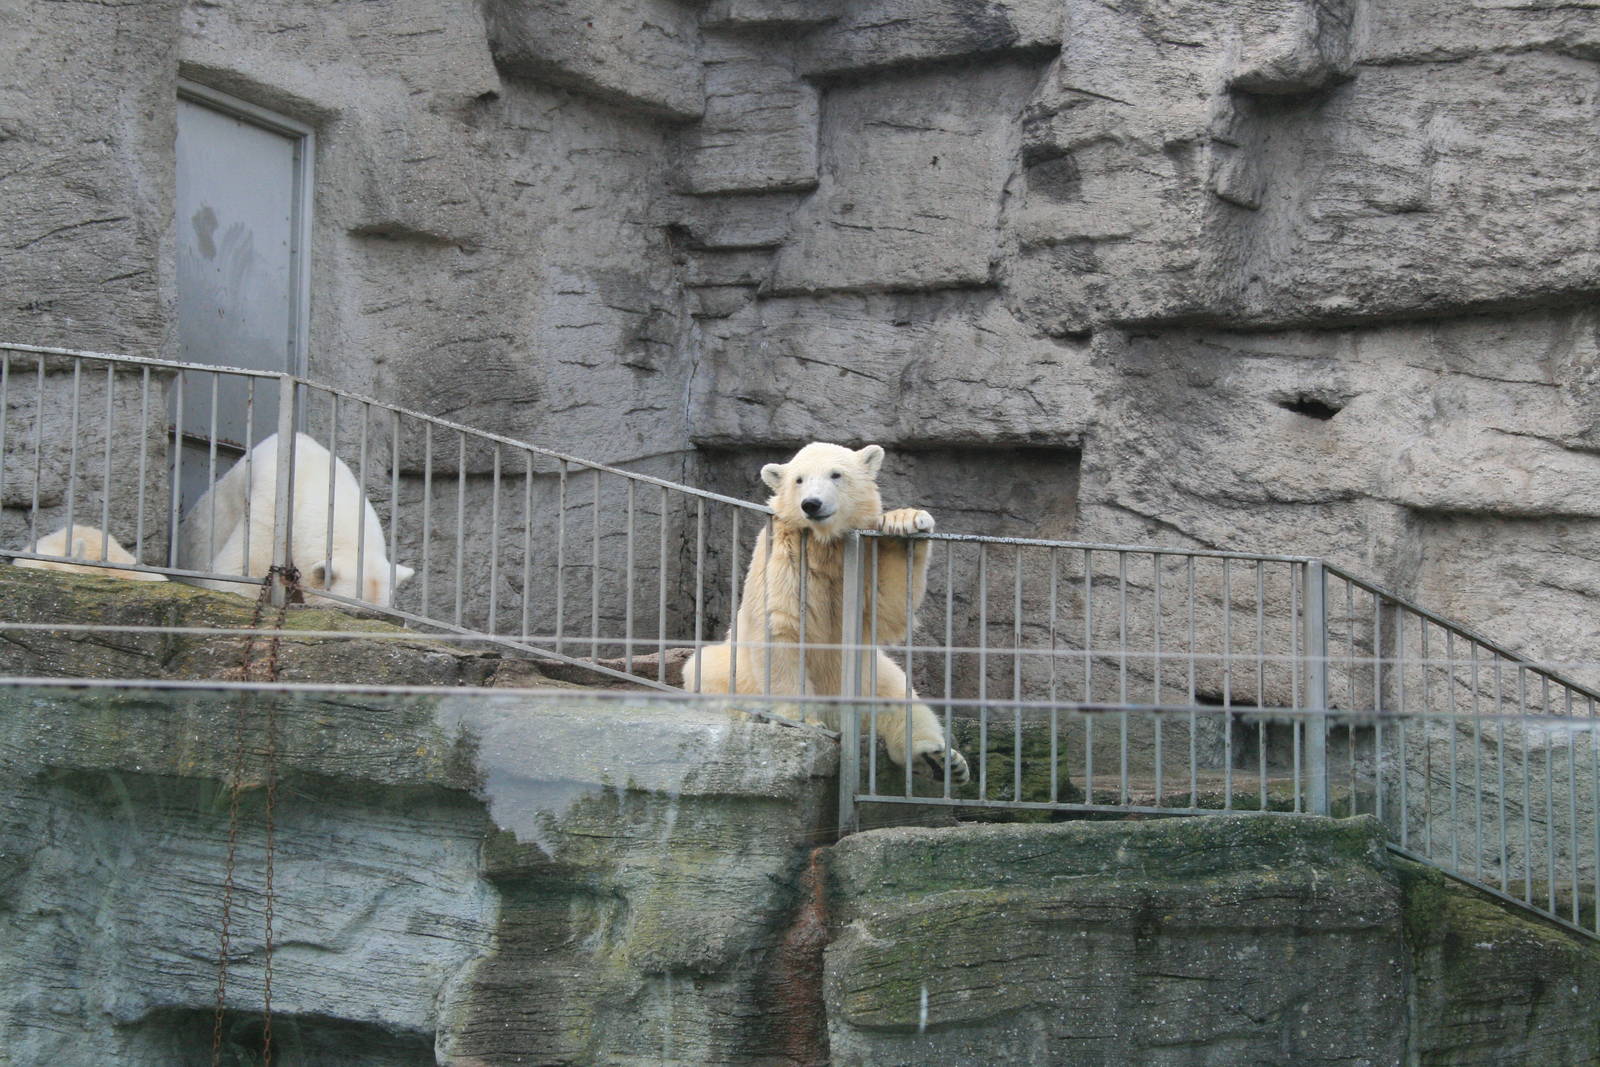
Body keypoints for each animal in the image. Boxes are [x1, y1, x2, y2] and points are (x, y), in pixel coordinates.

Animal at [686, 442, 970, 783]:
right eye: (798, 479)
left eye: (836, 474)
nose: (811, 504)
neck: (826, 545)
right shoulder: (787, 554)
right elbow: (781, 629)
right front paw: (799, 720)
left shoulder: (861, 561)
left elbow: (886, 608)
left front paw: (905, 522)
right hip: (733, 669)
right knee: (705, 668)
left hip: (872, 677)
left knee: (903, 701)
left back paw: (941, 759)